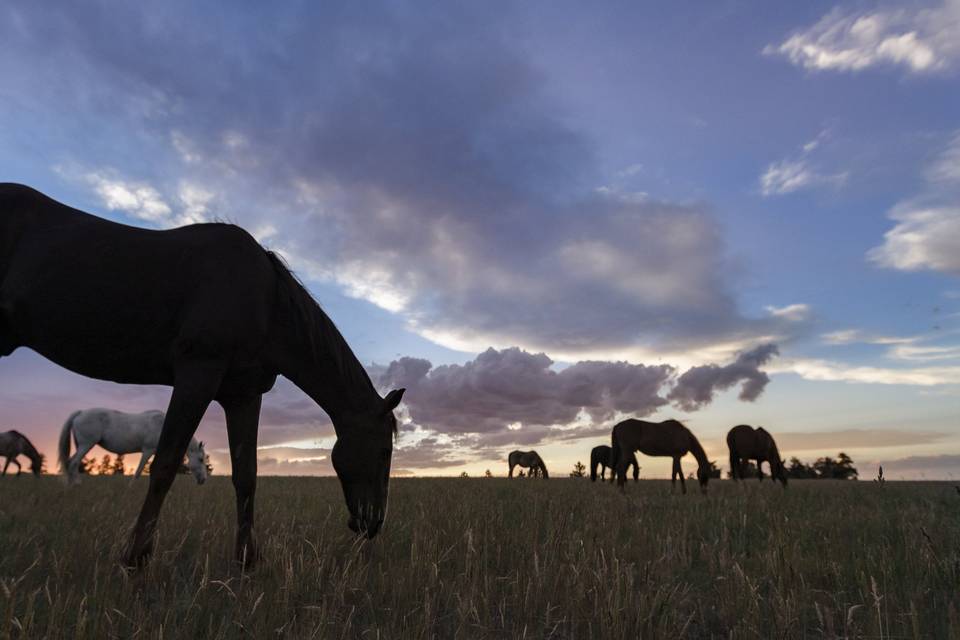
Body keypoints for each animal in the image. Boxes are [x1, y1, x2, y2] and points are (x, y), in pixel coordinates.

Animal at [58, 410, 208, 484]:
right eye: (201, 459)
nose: (203, 480)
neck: (164, 427)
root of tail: (80, 413)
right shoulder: (148, 450)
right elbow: (138, 472)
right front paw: (131, 488)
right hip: (86, 445)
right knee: (74, 462)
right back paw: (76, 485)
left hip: (81, 446)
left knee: (70, 462)